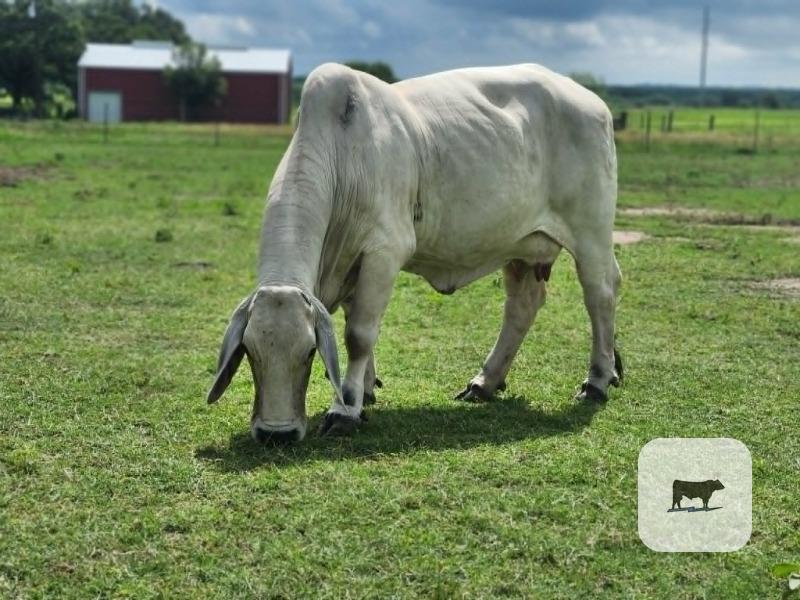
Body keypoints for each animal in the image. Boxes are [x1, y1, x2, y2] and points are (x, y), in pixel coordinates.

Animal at [206, 62, 623, 443]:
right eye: (249, 351)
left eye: (309, 351)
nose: (276, 434)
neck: (341, 156)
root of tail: (593, 102)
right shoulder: (352, 265)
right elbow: (353, 322)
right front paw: (365, 389)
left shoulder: (384, 250)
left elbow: (359, 334)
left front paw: (345, 408)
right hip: (521, 245)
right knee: (522, 307)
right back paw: (486, 381)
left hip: (591, 234)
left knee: (600, 294)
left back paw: (597, 380)